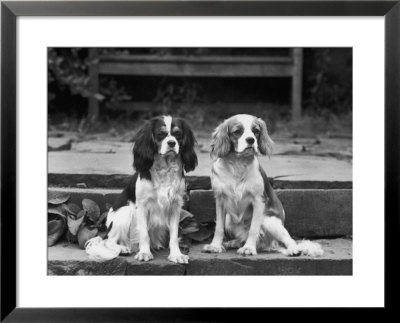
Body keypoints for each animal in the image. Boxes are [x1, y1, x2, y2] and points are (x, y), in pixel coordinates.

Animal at [85, 116, 198, 264]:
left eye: (178, 134)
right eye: (161, 134)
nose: (172, 143)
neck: (165, 168)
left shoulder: (175, 206)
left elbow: (174, 236)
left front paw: (176, 255)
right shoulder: (142, 207)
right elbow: (144, 234)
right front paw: (144, 253)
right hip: (125, 213)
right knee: (109, 241)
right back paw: (123, 248)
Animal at [203, 115, 322, 256]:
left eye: (256, 131)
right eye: (237, 131)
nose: (251, 140)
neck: (238, 164)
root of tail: (269, 245)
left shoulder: (258, 201)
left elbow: (253, 228)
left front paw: (249, 248)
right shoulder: (220, 200)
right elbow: (219, 228)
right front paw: (215, 246)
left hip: (269, 221)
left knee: (288, 240)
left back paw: (293, 249)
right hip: (229, 219)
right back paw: (234, 242)